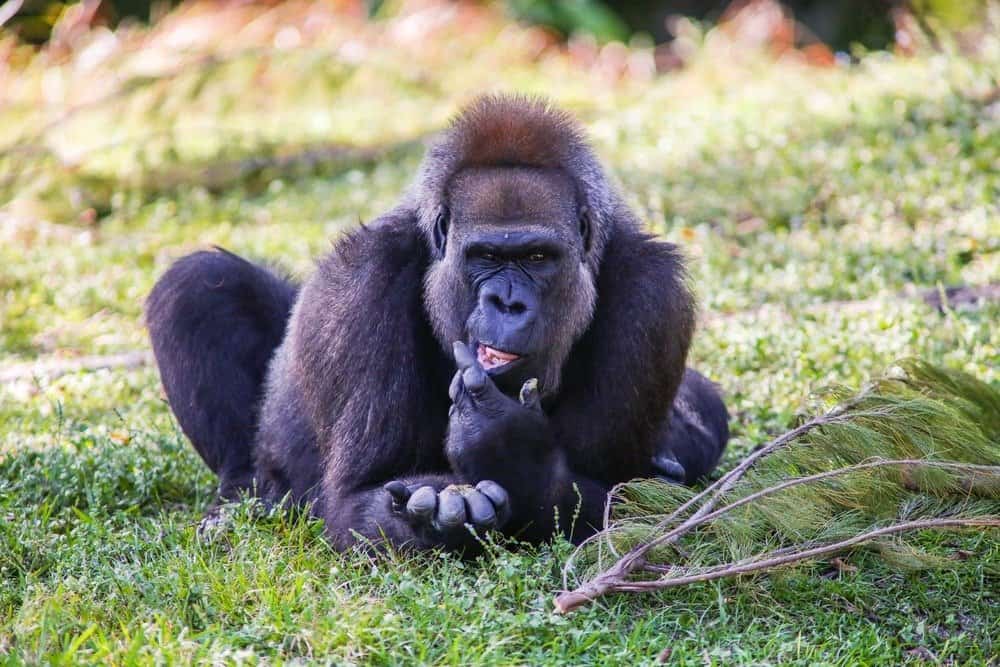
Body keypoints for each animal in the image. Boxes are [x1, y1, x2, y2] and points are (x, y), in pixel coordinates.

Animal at [146, 94, 729, 551]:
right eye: (485, 256)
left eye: (538, 258)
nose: (507, 303)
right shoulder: (365, 279)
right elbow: (355, 499)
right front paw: (442, 515)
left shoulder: (654, 297)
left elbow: (629, 499)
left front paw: (517, 458)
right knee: (199, 285)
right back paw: (239, 499)